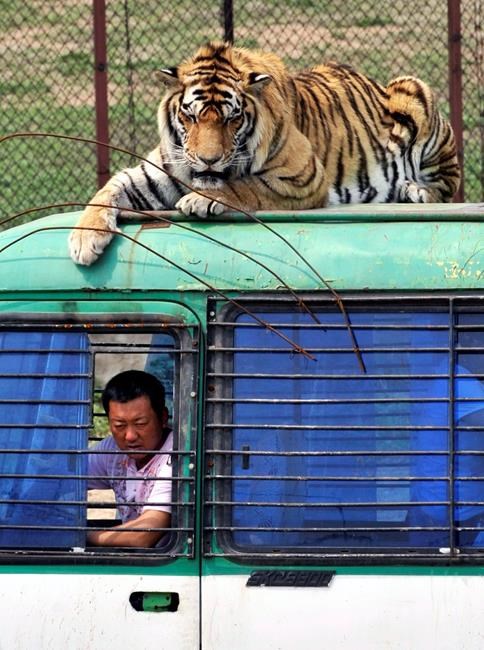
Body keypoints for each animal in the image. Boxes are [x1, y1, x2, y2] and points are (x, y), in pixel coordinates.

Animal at [69, 41, 460, 266]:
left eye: (232, 118)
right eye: (191, 116)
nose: (209, 159)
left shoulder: (302, 176)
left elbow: (245, 186)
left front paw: (201, 198)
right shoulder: (154, 173)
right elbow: (107, 190)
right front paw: (84, 239)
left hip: (414, 92)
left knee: (447, 183)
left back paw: (415, 191)